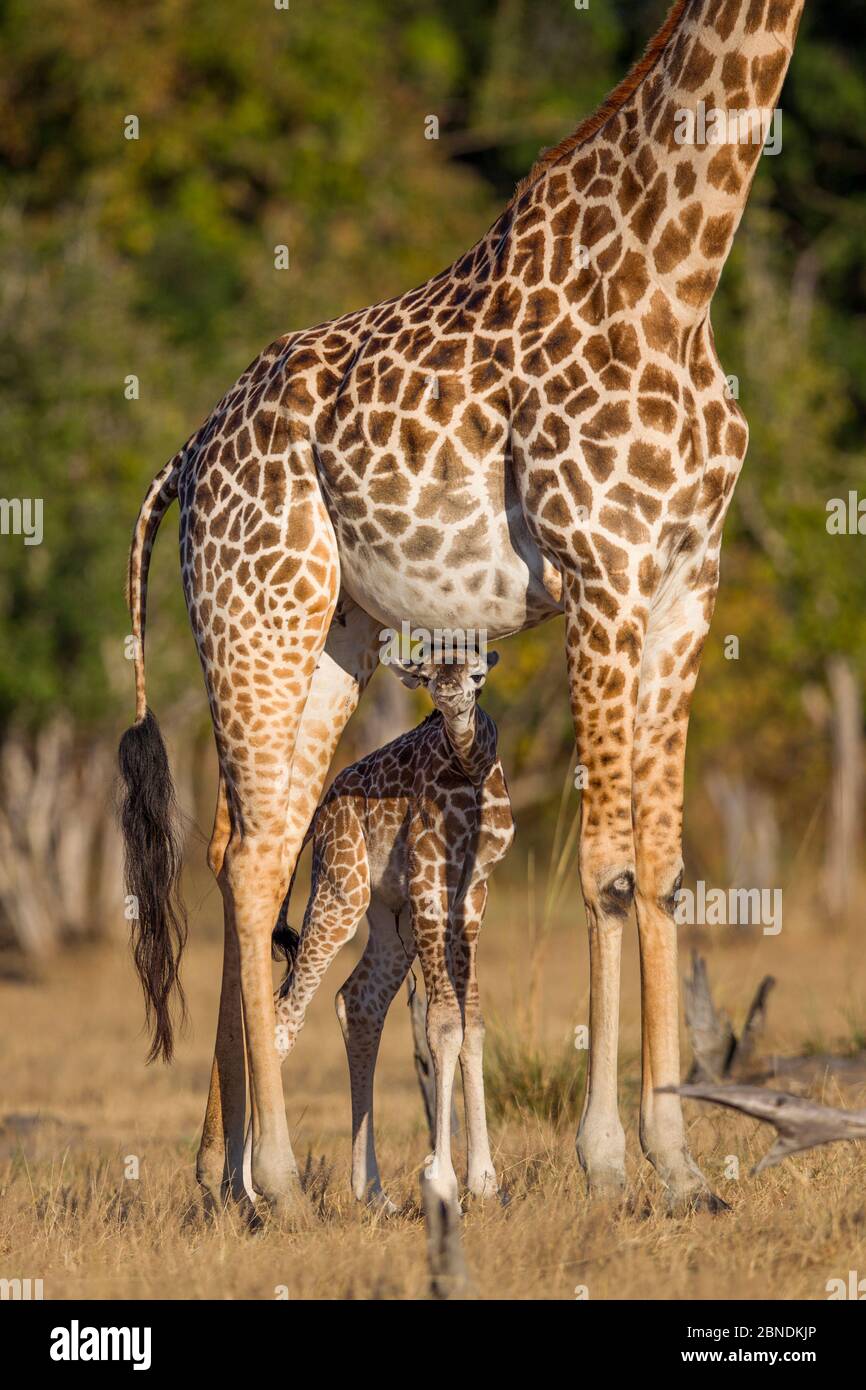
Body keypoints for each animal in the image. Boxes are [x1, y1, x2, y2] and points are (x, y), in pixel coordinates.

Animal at [273, 647, 511, 1206]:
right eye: (426, 675)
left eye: (478, 675)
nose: (448, 695)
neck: (471, 766)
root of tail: (321, 809)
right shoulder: (428, 879)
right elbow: (443, 1024)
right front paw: (442, 1178)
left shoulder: (474, 893)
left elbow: (474, 1023)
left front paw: (485, 1180)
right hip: (342, 888)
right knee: (285, 1013)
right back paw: (259, 1184)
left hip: (388, 914)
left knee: (357, 1000)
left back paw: (372, 1191)